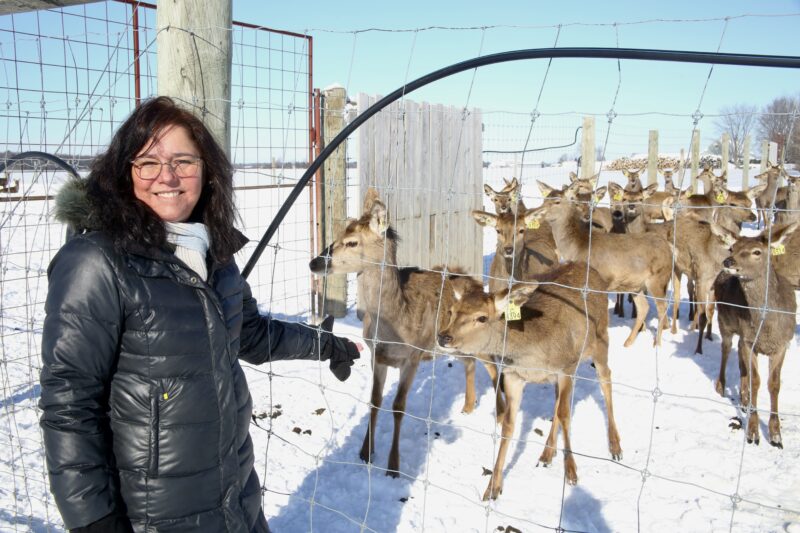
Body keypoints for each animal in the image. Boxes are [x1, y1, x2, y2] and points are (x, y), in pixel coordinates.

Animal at [310, 187, 504, 474]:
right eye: (338, 235)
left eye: (352, 242)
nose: (314, 263)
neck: (394, 324)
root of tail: (480, 286)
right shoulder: (376, 355)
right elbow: (375, 401)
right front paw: (366, 453)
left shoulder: (413, 356)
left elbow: (399, 406)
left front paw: (393, 466)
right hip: (453, 342)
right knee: (469, 363)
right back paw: (468, 406)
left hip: (474, 338)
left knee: (491, 363)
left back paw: (500, 414)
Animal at [434, 262, 620, 498]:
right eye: (451, 311)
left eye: (482, 317)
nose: (444, 337)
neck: (533, 352)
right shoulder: (514, 375)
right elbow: (508, 425)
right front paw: (493, 487)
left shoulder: (566, 367)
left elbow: (565, 414)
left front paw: (571, 472)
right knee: (557, 400)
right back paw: (547, 453)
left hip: (601, 338)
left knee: (606, 378)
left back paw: (615, 446)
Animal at [532, 180, 676, 344]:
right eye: (544, 199)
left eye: (557, 201)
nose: (537, 213)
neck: (578, 247)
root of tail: (668, 248)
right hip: (636, 285)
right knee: (644, 307)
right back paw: (627, 343)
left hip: (658, 278)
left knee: (662, 307)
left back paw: (656, 343)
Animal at [712, 222, 792, 446]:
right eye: (732, 248)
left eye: (757, 251)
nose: (728, 261)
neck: (767, 329)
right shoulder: (750, 341)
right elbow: (756, 381)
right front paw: (753, 433)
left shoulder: (782, 344)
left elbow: (774, 384)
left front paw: (776, 435)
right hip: (724, 321)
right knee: (727, 348)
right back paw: (721, 386)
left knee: (739, 355)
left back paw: (744, 398)